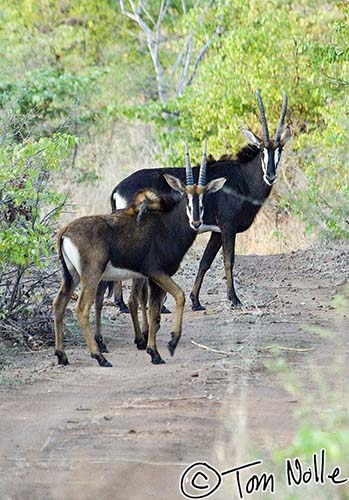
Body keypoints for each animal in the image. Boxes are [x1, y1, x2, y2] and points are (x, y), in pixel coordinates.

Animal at [52, 143, 226, 366]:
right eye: (185, 196)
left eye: (203, 196)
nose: (196, 222)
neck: (167, 225)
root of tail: (65, 232)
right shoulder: (156, 272)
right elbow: (177, 297)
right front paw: (168, 345)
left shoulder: (152, 278)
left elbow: (154, 311)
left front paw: (153, 351)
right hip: (91, 275)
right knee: (82, 308)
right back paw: (99, 356)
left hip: (71, 276)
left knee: (59, 304)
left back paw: (62, 355)